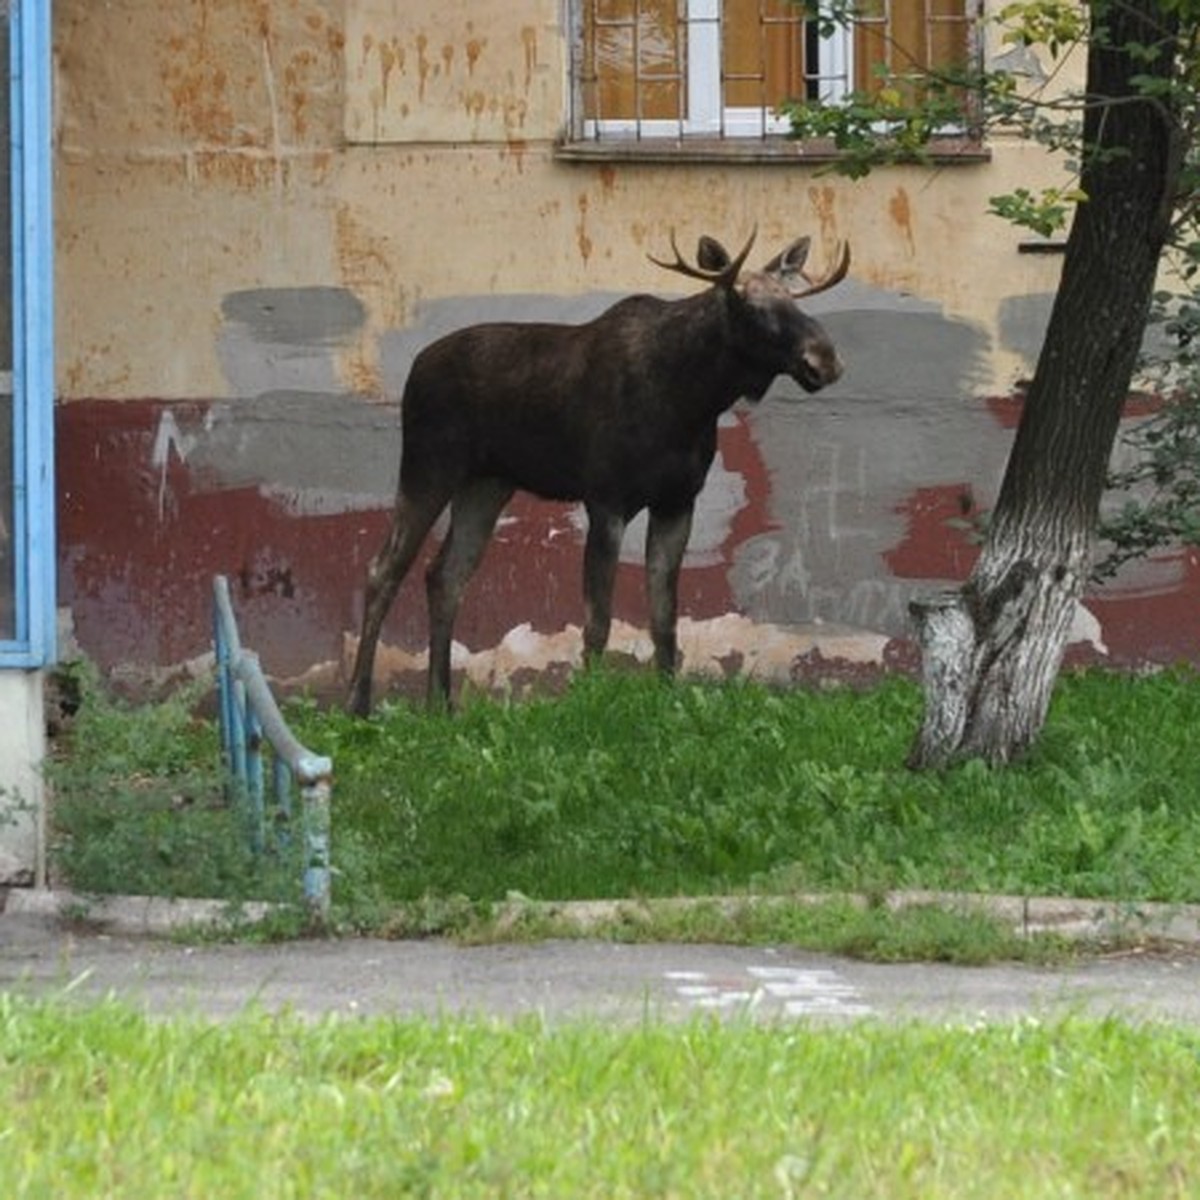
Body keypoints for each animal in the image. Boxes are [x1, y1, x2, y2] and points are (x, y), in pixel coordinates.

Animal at [348, 234, 849, 710]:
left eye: (795, 299)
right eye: (750, 305)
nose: (824, 359)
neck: (691, 399)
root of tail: (413, 371)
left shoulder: (677, 500)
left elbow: (664, 618)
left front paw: (668, 698)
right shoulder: (606, 499)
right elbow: (597, 622)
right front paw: (587, 699)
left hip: (486, 484)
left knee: (445, 576)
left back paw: (440, 703)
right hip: (428, 465)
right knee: (382, 569)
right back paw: (359, 702)